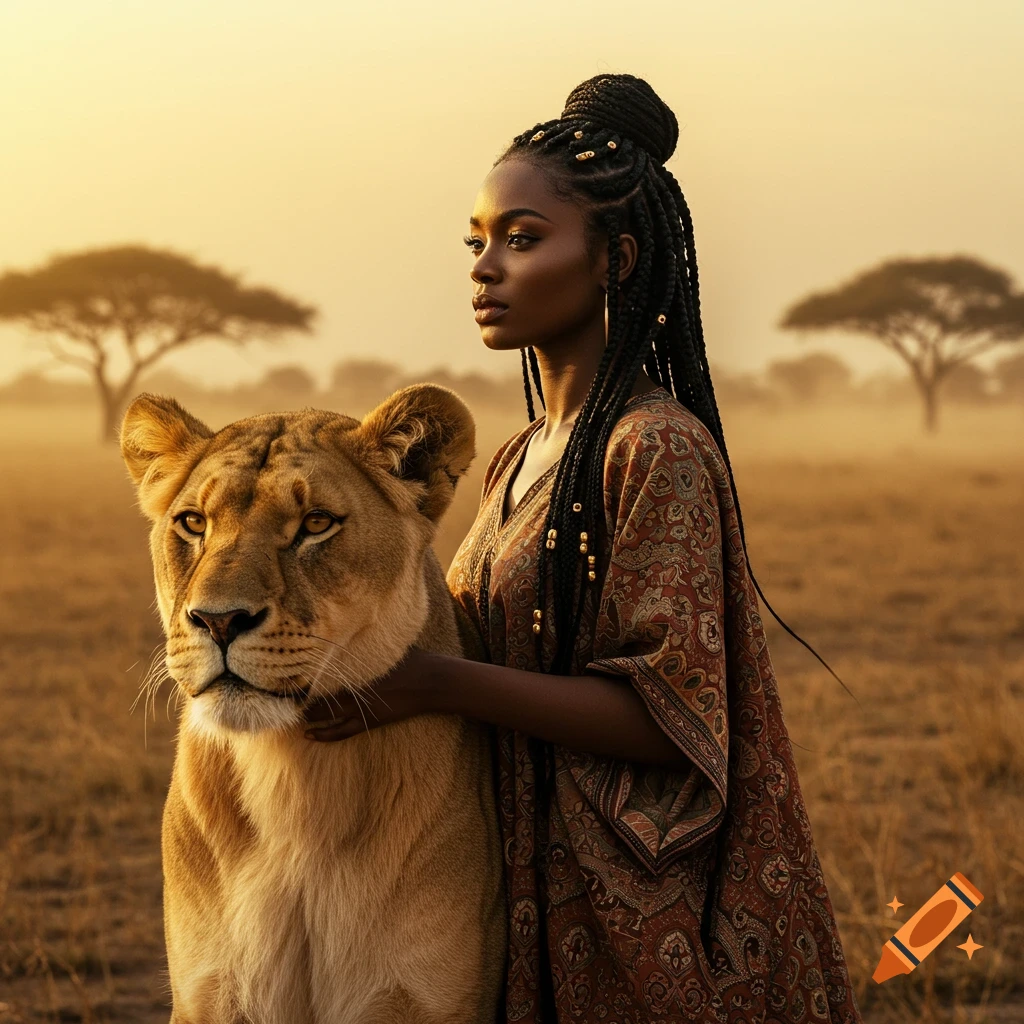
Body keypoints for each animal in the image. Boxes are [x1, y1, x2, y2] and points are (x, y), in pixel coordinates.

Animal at [119, 384, 506, 1024]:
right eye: (193, 522)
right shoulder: (207, 994)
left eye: (316, 524)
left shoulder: (427, 997)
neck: (291, 772)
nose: (218, 620)